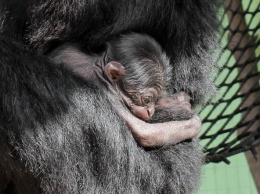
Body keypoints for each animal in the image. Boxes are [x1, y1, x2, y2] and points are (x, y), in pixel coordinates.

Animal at [49, 33, 201, 148]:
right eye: (147, 99)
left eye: (155, 100)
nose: (150, 111)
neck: (98, 68)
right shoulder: (109, 94)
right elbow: (145, 132)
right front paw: (193, 122)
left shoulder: (67, 49)